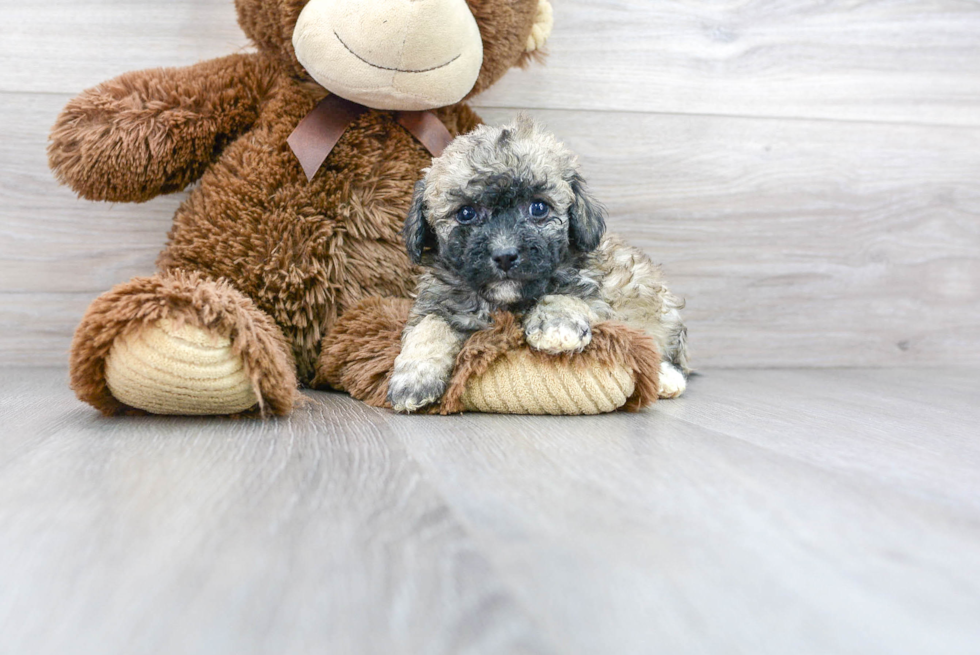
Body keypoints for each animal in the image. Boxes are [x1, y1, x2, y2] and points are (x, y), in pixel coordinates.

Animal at [384, 113, 688, 410]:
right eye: (466, 213)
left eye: (538, 208)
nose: (505, 255)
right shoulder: (438, 301)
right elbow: (429, 327)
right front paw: (414, 378)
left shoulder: (593, 290)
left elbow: (562, 294)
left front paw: (557, 326)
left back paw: (667, 378)